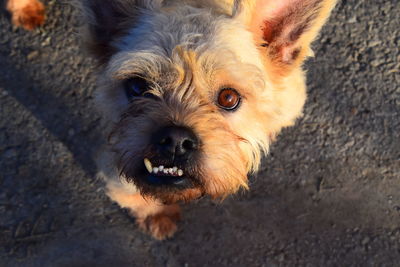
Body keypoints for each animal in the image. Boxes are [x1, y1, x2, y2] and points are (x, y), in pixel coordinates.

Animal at [9, 0, 338, 242]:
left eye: (229, 98)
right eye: (138, 87)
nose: (175, 140)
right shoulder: (116, 168)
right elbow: (135, 196)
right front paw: (156, 216)